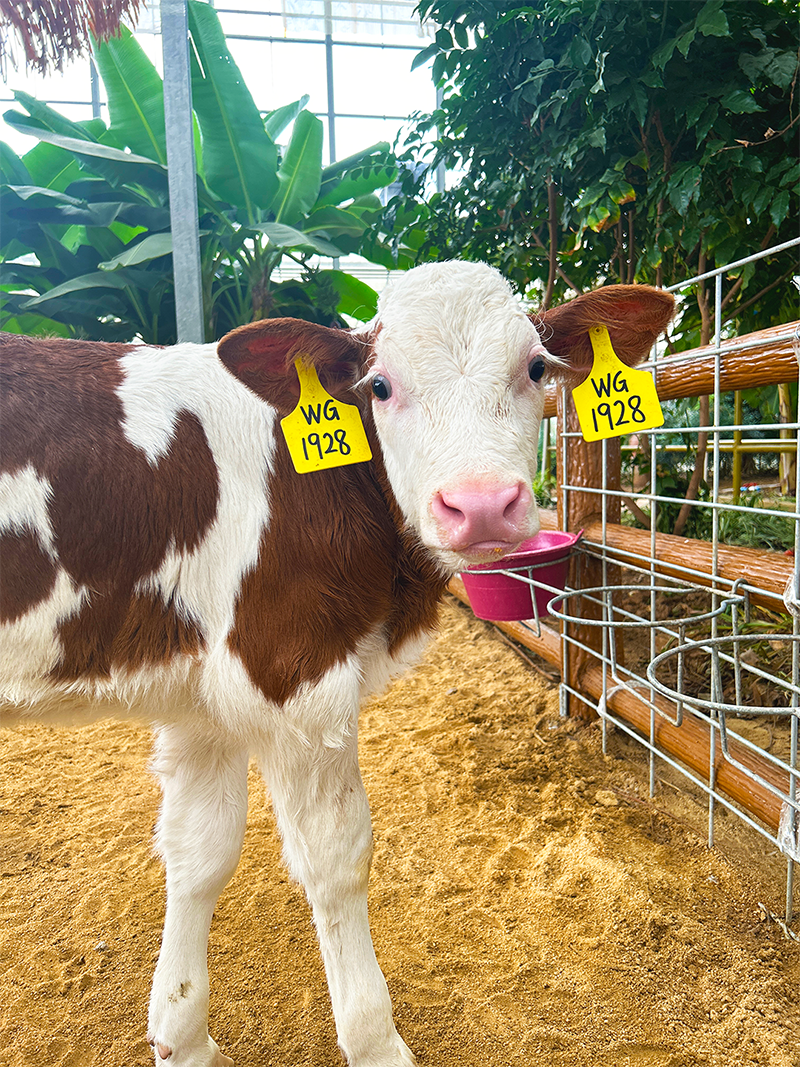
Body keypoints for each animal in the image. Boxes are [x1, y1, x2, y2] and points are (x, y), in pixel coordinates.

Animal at [0, 260, 674, 1067]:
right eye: (378, 385)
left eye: (537, 367)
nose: (481, 505)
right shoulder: (292, 671)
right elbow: (336, 858)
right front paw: (376, 1041)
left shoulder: (202, 695)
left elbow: (200, 851)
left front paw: (183, 1037)